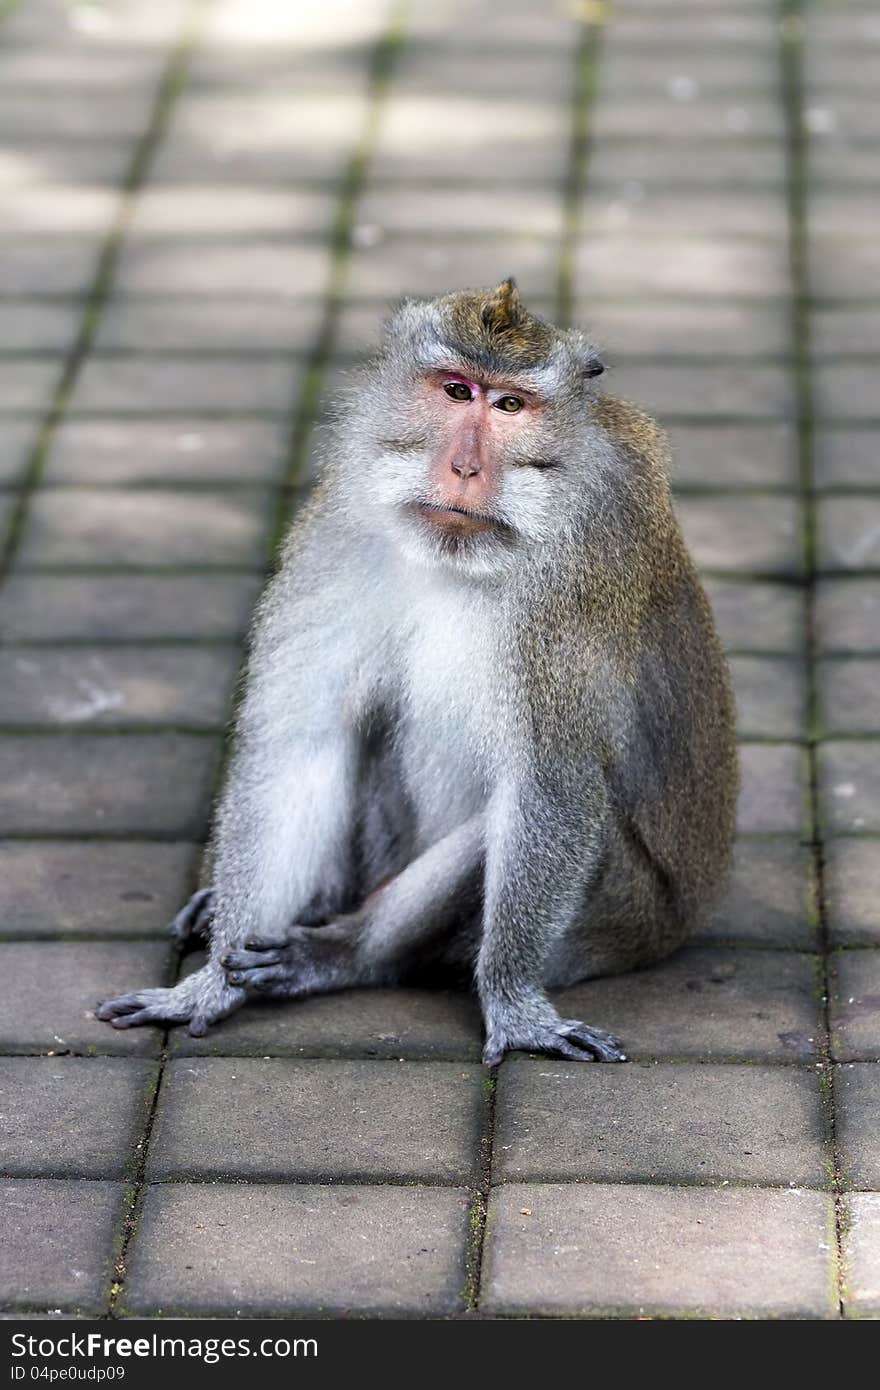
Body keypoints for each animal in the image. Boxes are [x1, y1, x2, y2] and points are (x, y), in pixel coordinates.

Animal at [99, 282, 739, 1061]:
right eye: (457, 390)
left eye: (510, 406)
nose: (464, 469)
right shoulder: (340, 531)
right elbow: (301, 744)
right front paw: (209, 985)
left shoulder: (582, 572)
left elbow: (551, 783)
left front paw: (513, 1005)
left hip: (620, 918)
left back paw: (344, 954)